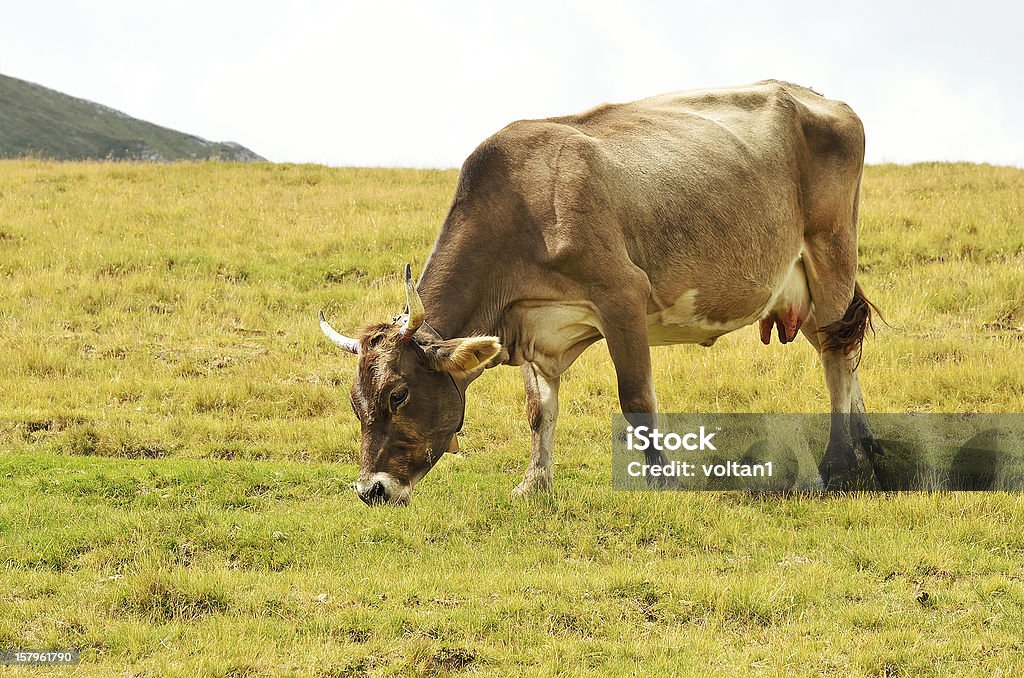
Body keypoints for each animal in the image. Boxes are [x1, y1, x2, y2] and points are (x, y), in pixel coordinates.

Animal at [319, 79, 880, 503]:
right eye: (354, 400)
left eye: (399, 394)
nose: (371, 490)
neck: (521, 206)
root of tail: (818, 97)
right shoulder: (534, 328)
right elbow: (539, 410)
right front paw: (534, 483)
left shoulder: (622, 294)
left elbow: (636, 397)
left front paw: (663, 480)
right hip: (802, 290)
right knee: (845, 354)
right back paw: (869, 449)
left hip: (831, 254)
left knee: (837, 355)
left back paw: (838, 462)